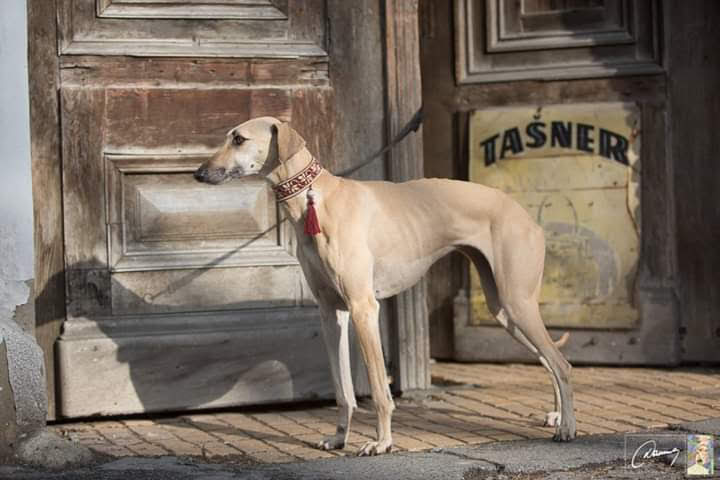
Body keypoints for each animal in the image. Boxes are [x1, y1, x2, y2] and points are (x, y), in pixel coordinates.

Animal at [194, 115, 576, 454]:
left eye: (239, 139)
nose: (197, 173)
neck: (318, 199)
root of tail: (526, 215)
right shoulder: (331, 314)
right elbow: (343, 390)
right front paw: (339, 439)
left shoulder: (364, 309)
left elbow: (379, 389)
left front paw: (381, 443)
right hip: (505, 311)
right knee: (549, 362)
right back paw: (558, 417)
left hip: (517, 301)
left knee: (562, 365)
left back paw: (568, 429)